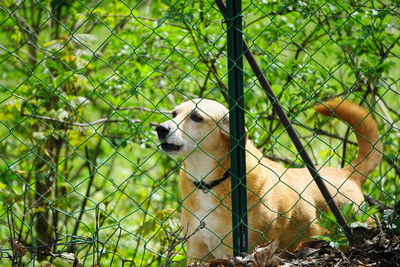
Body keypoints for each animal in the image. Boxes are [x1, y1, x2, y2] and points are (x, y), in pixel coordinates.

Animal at [155, 98, 382, 262]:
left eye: (196, 117)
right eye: (174, 114)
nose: (160, 128)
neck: (211, 182)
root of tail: (348, 173)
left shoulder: (243, 249)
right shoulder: (197, 252)